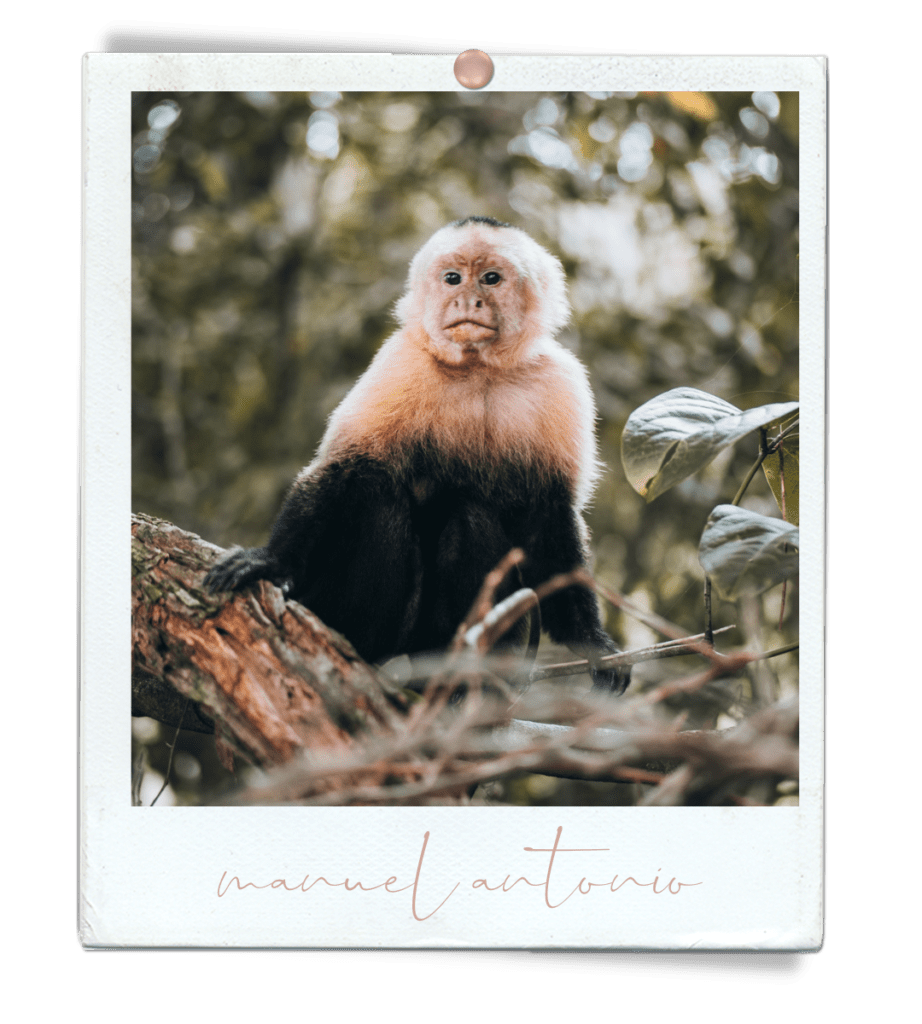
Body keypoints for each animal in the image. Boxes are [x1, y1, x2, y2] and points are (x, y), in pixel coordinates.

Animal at [205, 216, 629, 694]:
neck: (478, 369)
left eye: (491, 279)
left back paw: (461, 675)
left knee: (470, 517)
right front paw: (270, 561)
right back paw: (363, 645)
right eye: (453, 279)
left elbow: (549, 517)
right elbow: (343, 467)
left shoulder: (561, 384)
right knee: (376, 490)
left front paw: (593, 642)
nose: (467, 300)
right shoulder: (402, 362)